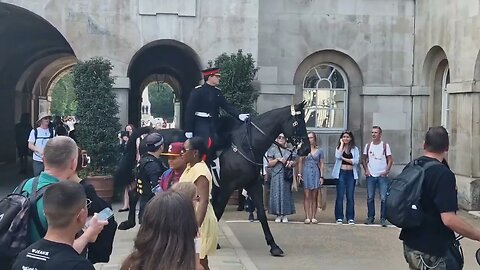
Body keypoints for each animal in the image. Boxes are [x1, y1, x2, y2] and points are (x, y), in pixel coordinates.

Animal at [115, 101, 310, 255]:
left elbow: (261, 213)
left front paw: (273, 245)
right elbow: (217, 212)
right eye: (298, 123)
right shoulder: (226, 187)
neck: (247, 145)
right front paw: (211, 241)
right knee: (138, 193)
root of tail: (151, 132)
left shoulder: (253, 184)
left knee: (136, 193)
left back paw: (131, 222)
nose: (306, 149)